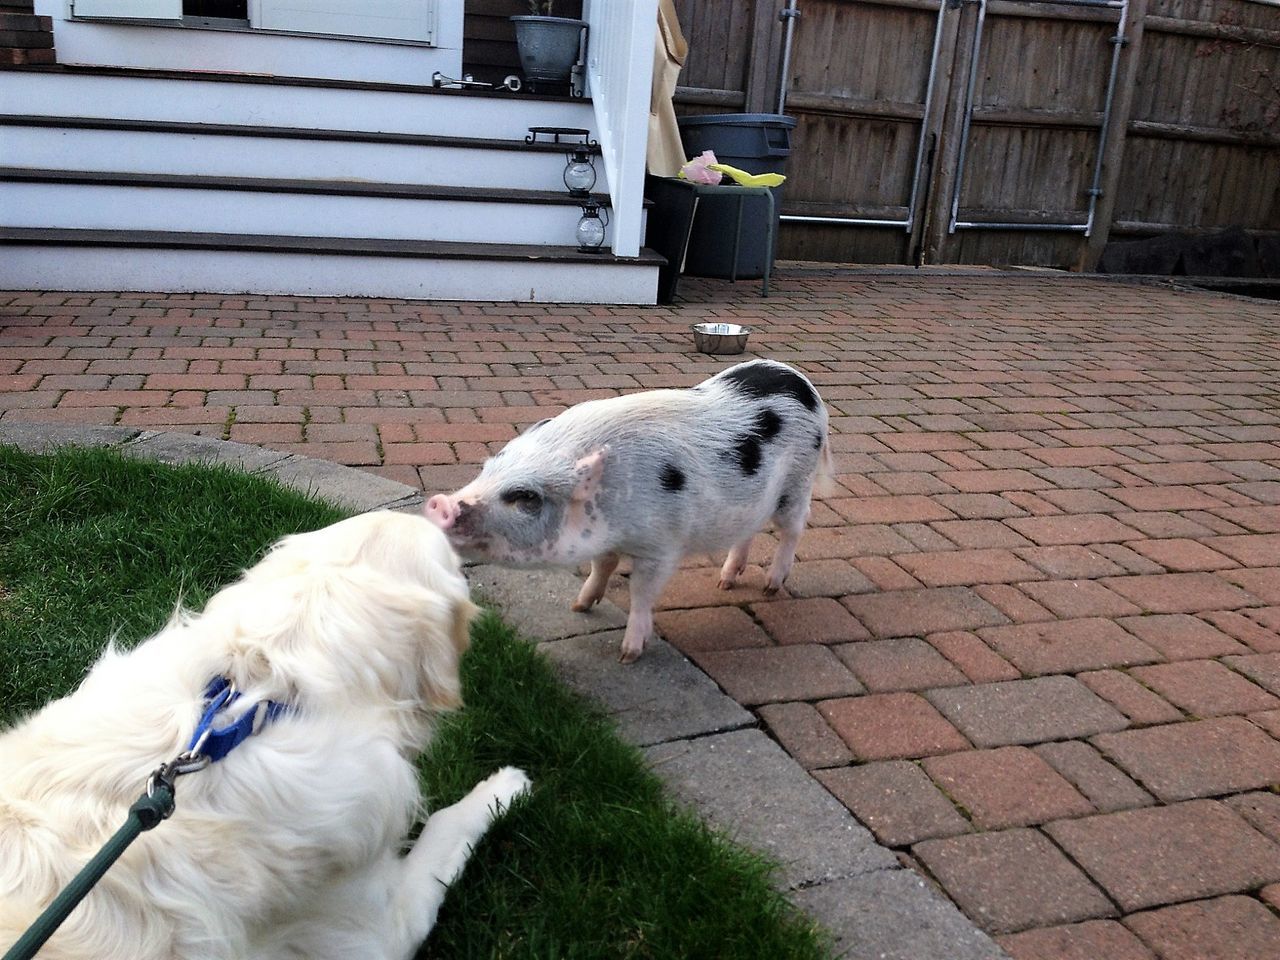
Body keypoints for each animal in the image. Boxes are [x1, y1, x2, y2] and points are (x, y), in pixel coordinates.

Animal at [424, 358, 834, 660]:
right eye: (486, 469)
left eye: (525, 497)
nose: (440, 504)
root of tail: (801, 381)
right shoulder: (605, 539)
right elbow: (601, 565)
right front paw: (579, 606)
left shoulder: (661, 547)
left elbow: (641, 591)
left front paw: (628, 655)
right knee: (747, 531)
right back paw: (725, 582)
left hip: (797, 485)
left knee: (795, 528)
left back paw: (770, 586)